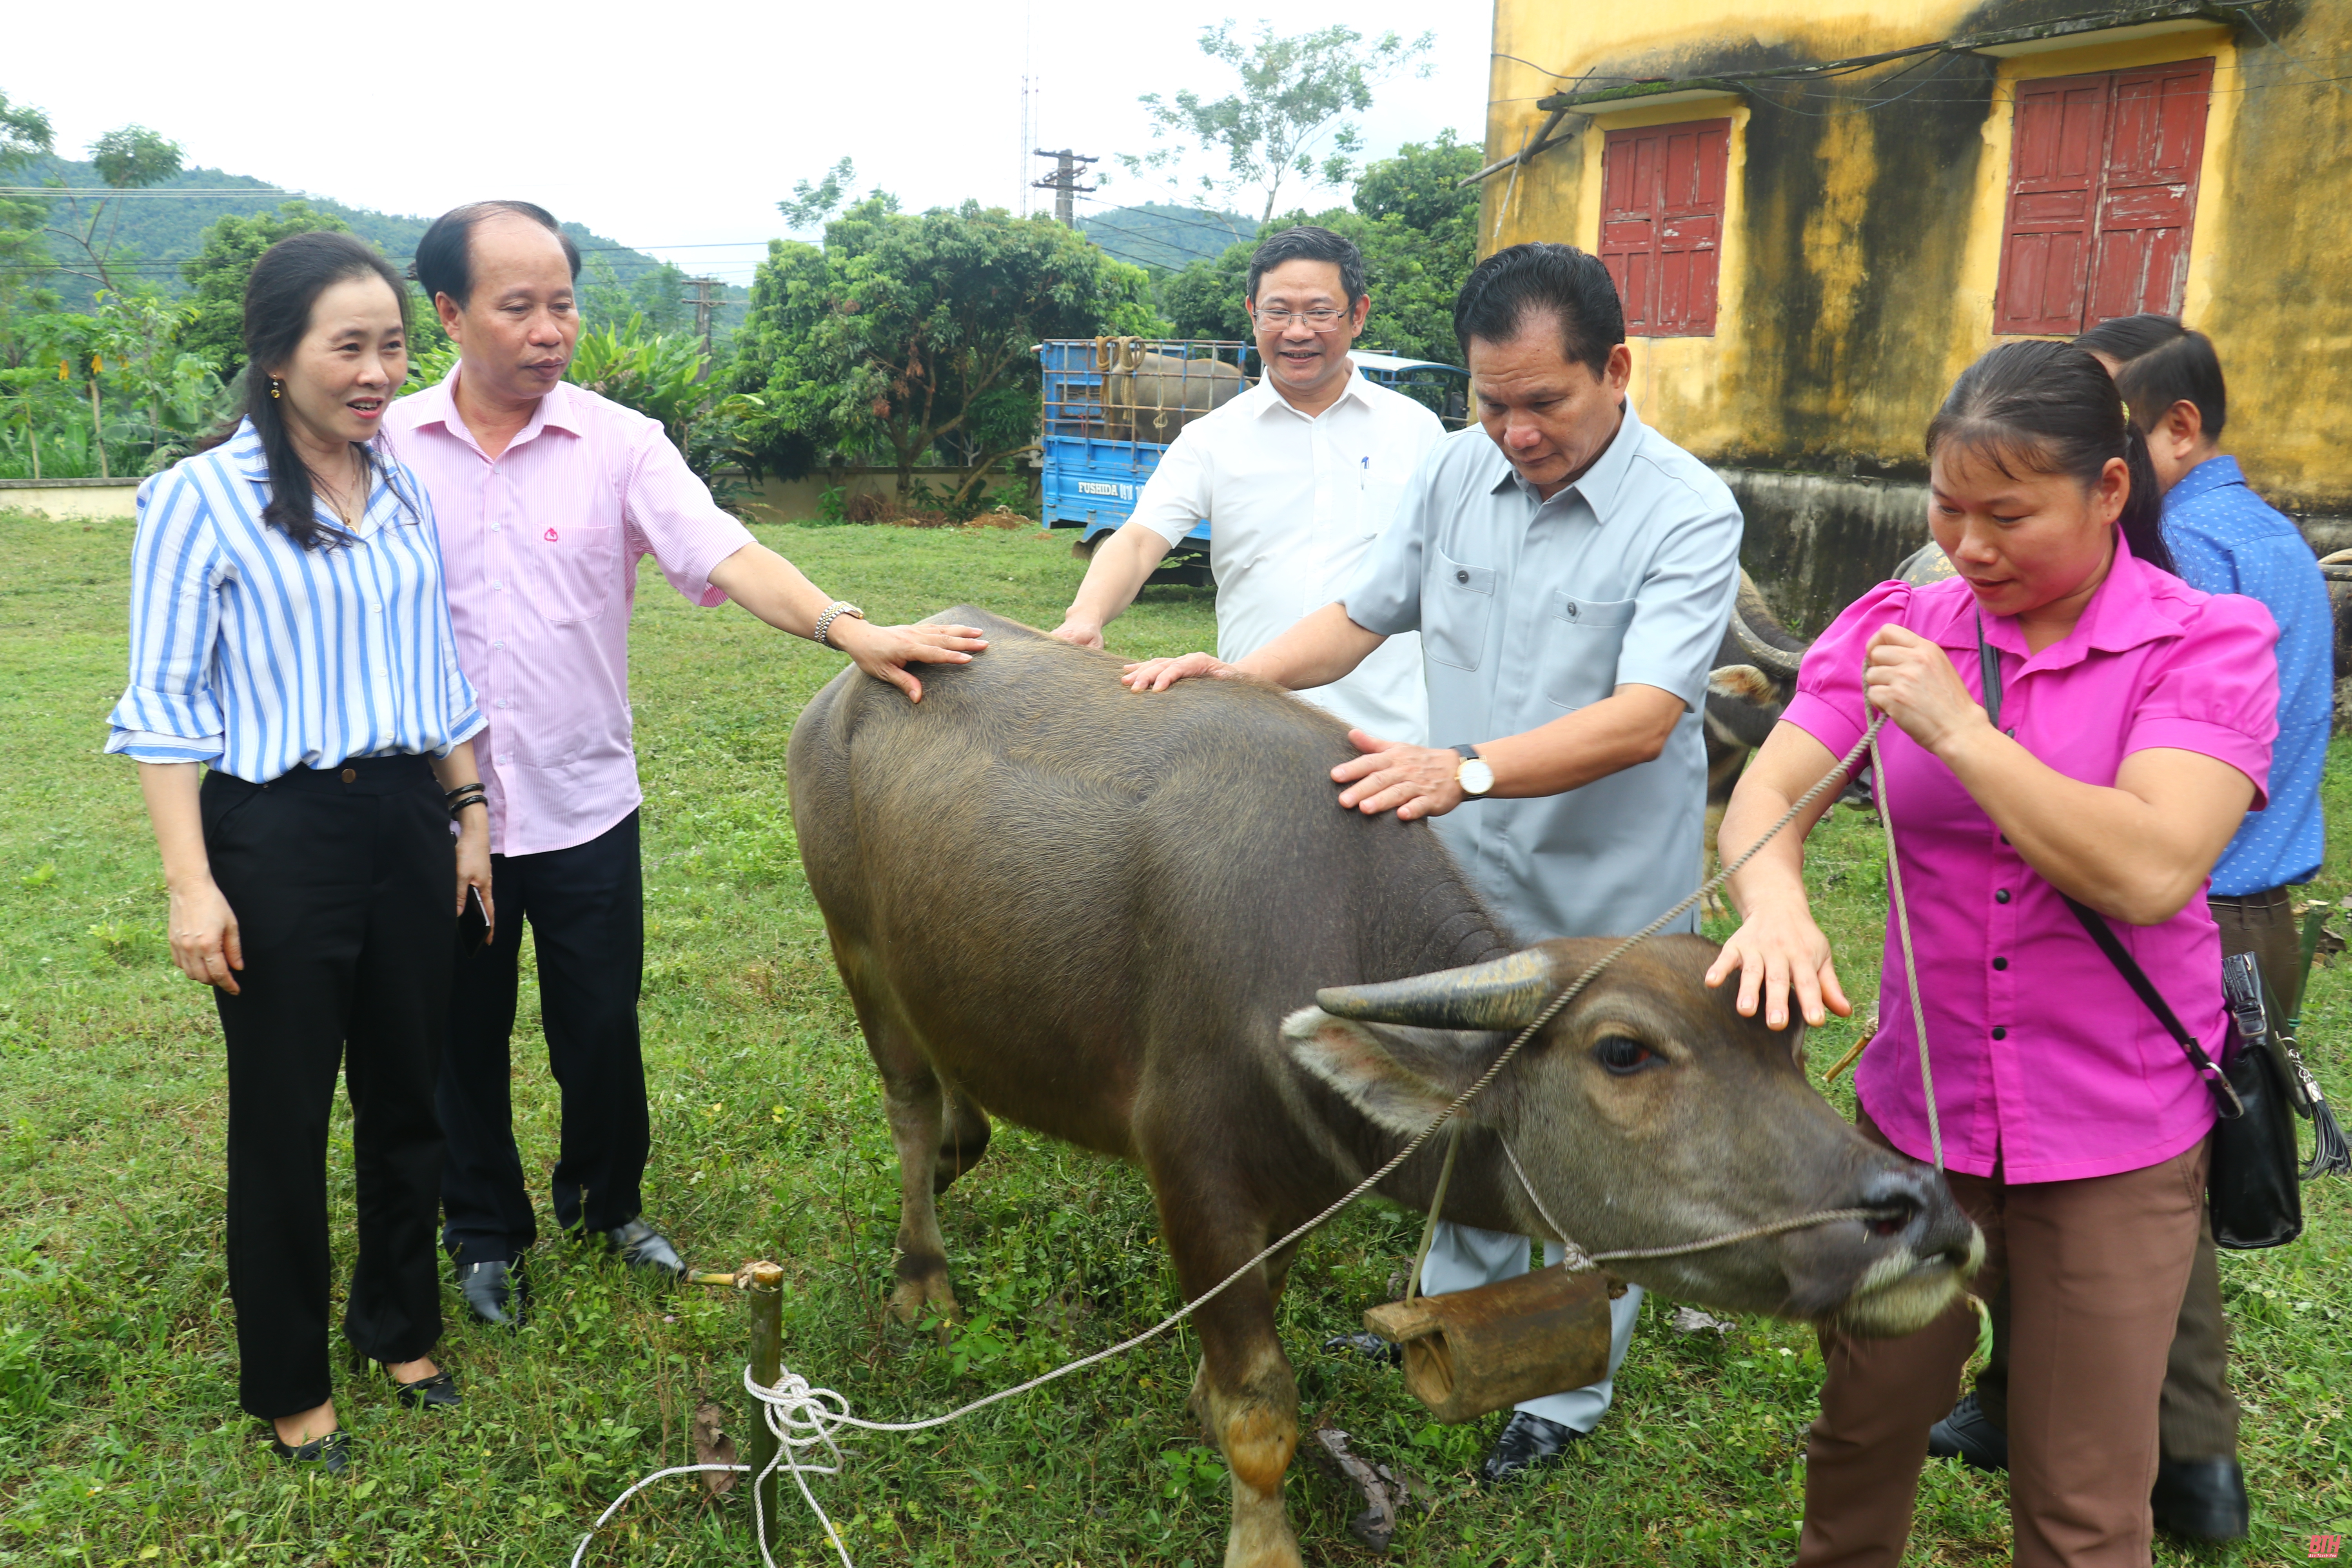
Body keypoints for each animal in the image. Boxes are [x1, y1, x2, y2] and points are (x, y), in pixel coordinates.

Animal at [790, 611, 1985, 1568]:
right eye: (1624, 1053)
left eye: (1789, 1042)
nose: (1923, 1213)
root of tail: (848, 688)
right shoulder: (1195, 1173)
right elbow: (1261, 1407)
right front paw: (1261, 1533)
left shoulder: (1300, 1186)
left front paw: (1197, 1391)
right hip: (856, 949)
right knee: (906, 1108)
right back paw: (922, 1274)